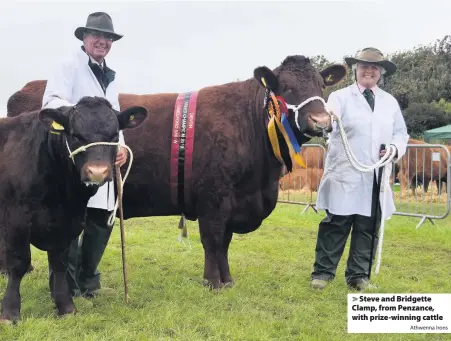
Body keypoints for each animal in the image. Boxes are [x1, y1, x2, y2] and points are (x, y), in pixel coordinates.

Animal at [4, 56, 346, 286]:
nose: (320, 121)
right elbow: (213, 240)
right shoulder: (214, 198)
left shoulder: (233, 201)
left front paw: (227, 280)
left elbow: (225, 243)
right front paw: (212, 282)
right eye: (285, 87)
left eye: (320, 86)